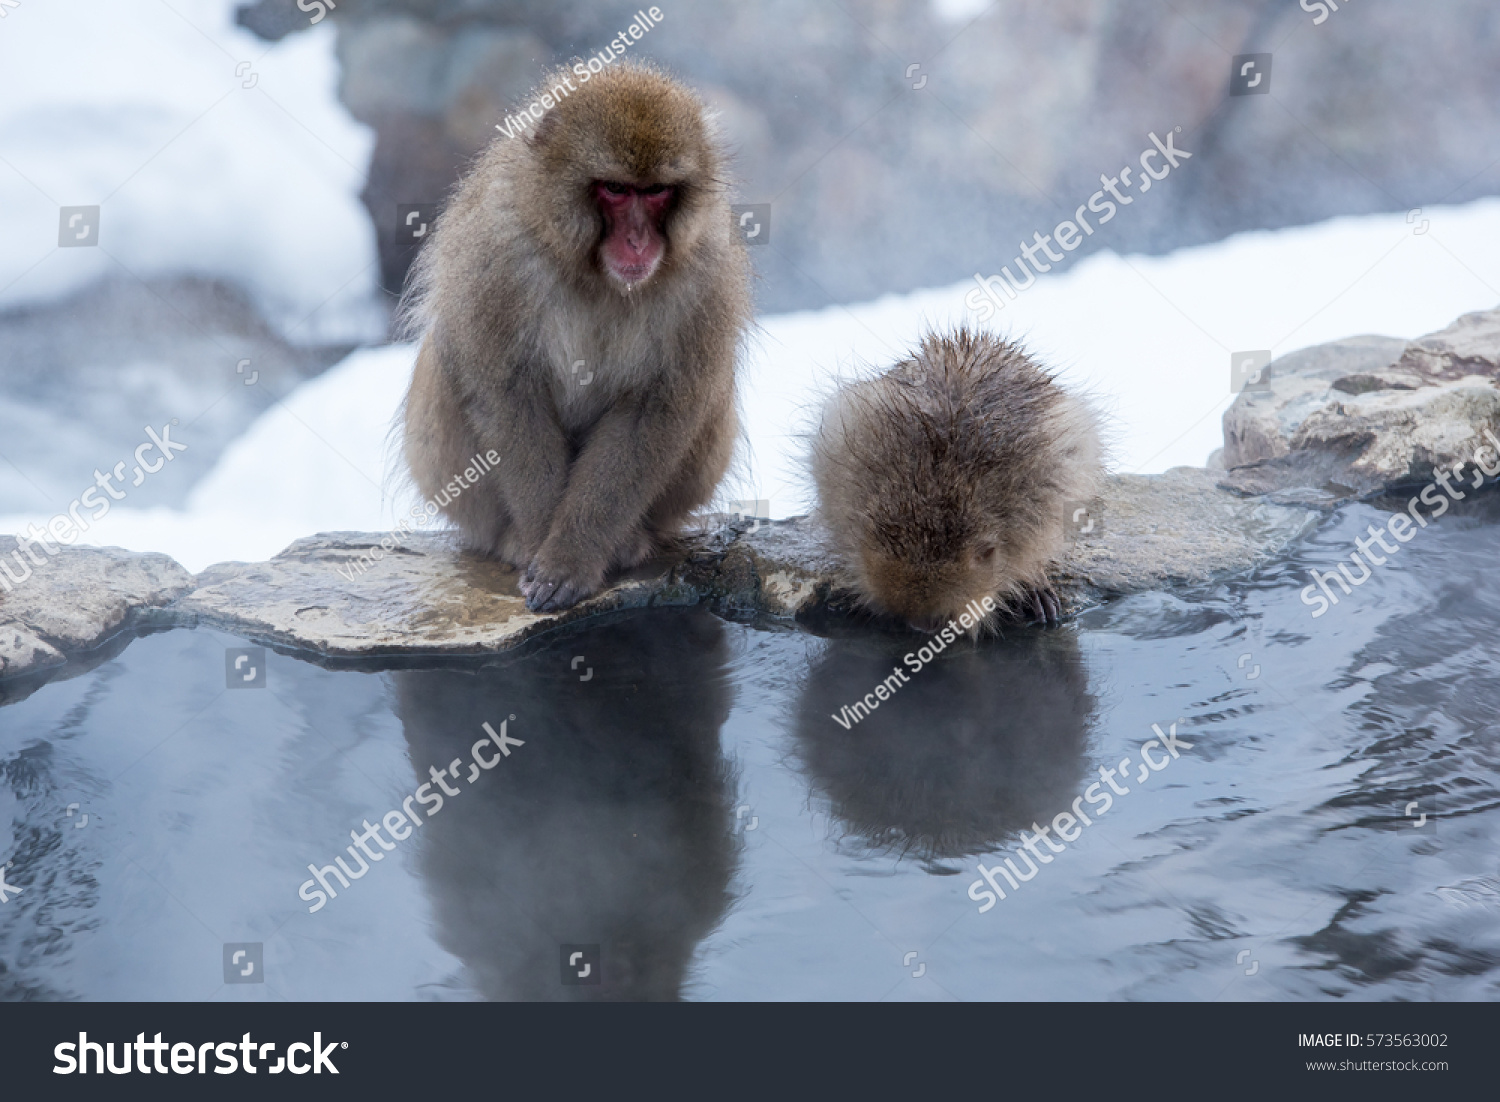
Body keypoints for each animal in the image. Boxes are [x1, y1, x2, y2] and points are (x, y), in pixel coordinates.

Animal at [402, 60, 750, 617]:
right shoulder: (497, 248)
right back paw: (512, 540)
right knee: (445, 359)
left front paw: (571, 559)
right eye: (615, 189)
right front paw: (544, 546)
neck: (595, 275)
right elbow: (507, 395)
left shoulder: (707, 270)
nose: (638, 241)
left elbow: (655, 411)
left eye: (656, 191)